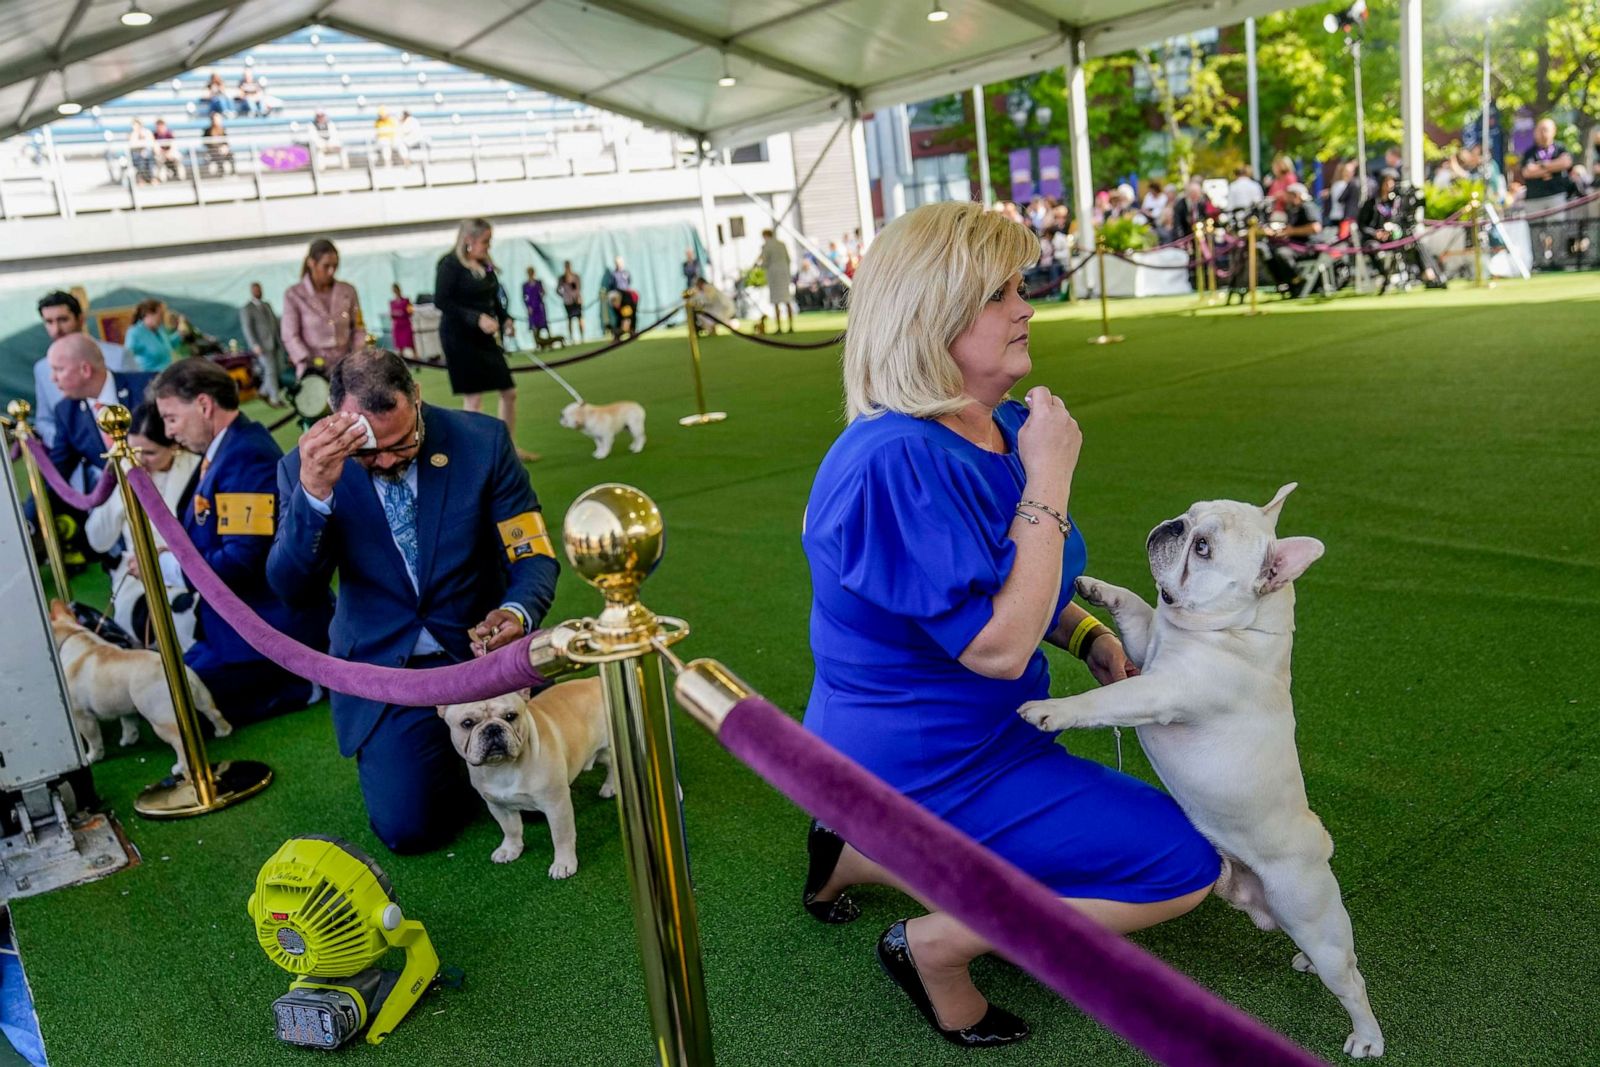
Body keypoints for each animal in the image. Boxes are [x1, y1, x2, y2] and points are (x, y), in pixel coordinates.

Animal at [49, 601, 230, 777]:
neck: (73, 633)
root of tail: (174, 673)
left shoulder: (83, 717)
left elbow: (93, 740)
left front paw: (93, 757)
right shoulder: (123, 706)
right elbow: (129, 724)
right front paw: (128, 740)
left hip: (159, 719)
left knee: (179, 742)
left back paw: (180, 767)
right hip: (201, 697)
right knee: (213, 713)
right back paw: (223, 731)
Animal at [438, 681, 617, 883]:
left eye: (510, 716)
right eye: (467, 723)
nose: (493, 728)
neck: (502, 767)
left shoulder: (556, 804)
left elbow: (561, 836)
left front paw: (564, 863)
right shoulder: (498, 806)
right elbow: (510, 828)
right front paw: (510, 849)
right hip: (597, 752)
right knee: (609, 761)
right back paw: (610, 786)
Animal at [1024, 483, 1388, 1062]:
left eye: (1203, 550)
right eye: (1191, 515)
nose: (1172, 526)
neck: (1238, 630)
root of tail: (1320, 845)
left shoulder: (1158, 691)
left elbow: (1104, 700)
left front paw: (1052, 711)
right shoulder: (1146, 643)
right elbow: (1135, 605)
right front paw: (1096, 587)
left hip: (1310, 911)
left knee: (1350, 980)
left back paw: (1367, 1037)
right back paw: (1306, 963)